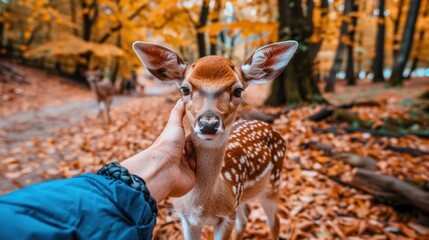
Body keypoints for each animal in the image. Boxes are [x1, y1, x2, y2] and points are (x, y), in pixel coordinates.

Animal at [132, 40, 296, 239]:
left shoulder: (227, 215)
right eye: (184, 89)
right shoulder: (187, 218)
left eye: (238, 91)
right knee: (246, 217)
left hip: (273, 183)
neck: (202, 207)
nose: (208, 123)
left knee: (274, 222)